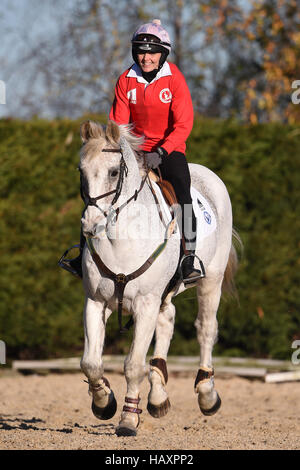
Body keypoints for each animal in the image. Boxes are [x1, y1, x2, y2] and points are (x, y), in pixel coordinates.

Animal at [78, 119, 241, 436]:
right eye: (81, 170)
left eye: (113, 172)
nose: (91, 225)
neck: (120, 237)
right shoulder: (96, 301)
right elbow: (90, 362)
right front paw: (104, 403)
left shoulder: (145, 303)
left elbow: (133, 365)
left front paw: (128, 419)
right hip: (164, 293)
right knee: (168, 320)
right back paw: (158, 395)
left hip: (210, 282)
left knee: (206, 328)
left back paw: (207, 394)